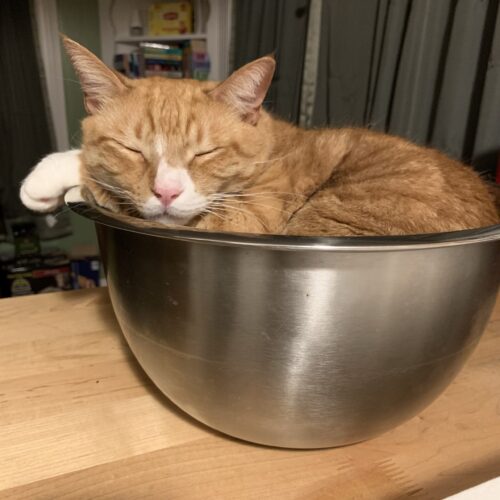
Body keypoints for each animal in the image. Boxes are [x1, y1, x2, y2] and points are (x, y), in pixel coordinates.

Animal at [18, 37, 496, 236]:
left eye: (205, 153)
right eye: (132, 149)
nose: (167, 192)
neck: (271, 149)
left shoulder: (251, 220)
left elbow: (91, 172)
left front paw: (49, 178)